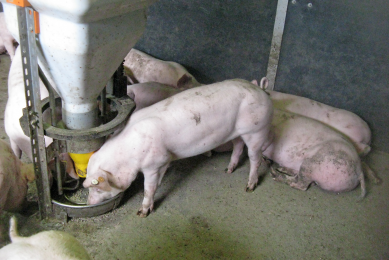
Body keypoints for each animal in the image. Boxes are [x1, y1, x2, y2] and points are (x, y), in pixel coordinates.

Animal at [84, 79, 272, 217]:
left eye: (98, 188)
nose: (89, 203)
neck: (128, 153)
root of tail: (261, 90)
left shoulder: (154, 163)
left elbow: (149, 188)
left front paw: (142, 213)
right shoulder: (165, 160)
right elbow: (158, 183)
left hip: (257, 130)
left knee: (255, 158)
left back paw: (249, 187)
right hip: (237, 132)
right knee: (238, 145)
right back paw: (228, 170)